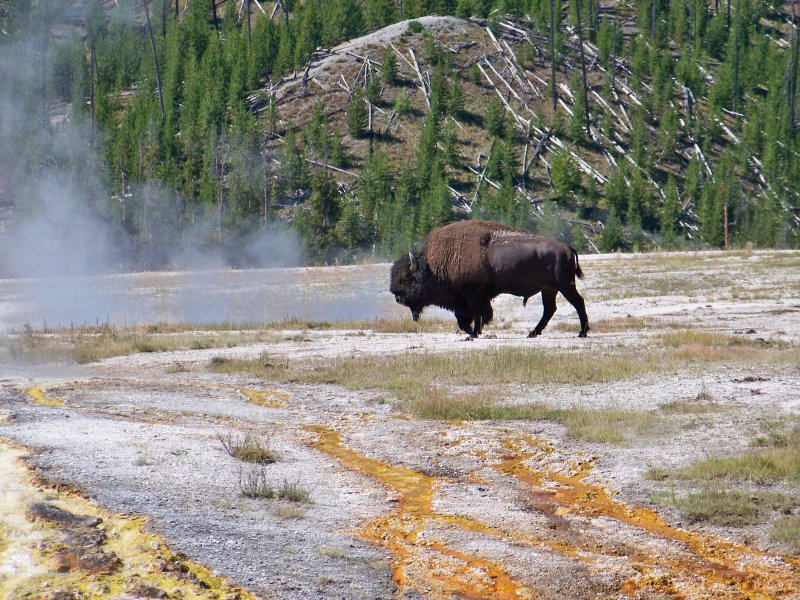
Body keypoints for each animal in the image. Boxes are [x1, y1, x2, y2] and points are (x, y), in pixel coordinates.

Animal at [390, 220, 592, 340]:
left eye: (407, 279)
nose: (398, 298)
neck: (435, 264)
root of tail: (567, 247)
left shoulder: (473, 295)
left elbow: (477, 314)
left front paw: (474, 333)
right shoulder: (468, 300)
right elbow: (466, 319)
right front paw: (473, 332)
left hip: (564, 285)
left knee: (578, 302)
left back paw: (582, 333)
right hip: (549, 289)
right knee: (550, 309)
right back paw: (532, 333)